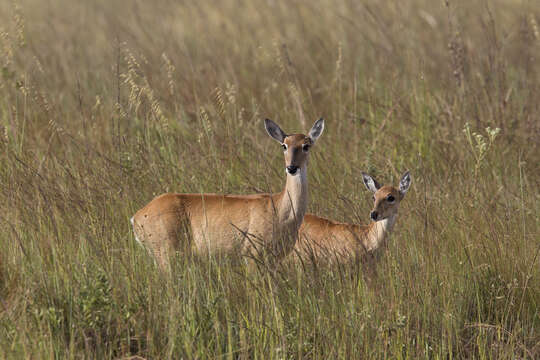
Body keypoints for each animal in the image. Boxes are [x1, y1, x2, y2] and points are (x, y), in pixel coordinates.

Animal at [131, 118, 324, 270]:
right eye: (284, 145)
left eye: (306, 145)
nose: (291, 167)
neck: (281, 211)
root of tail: (136, 217)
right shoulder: (251, 254)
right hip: (164, 253)